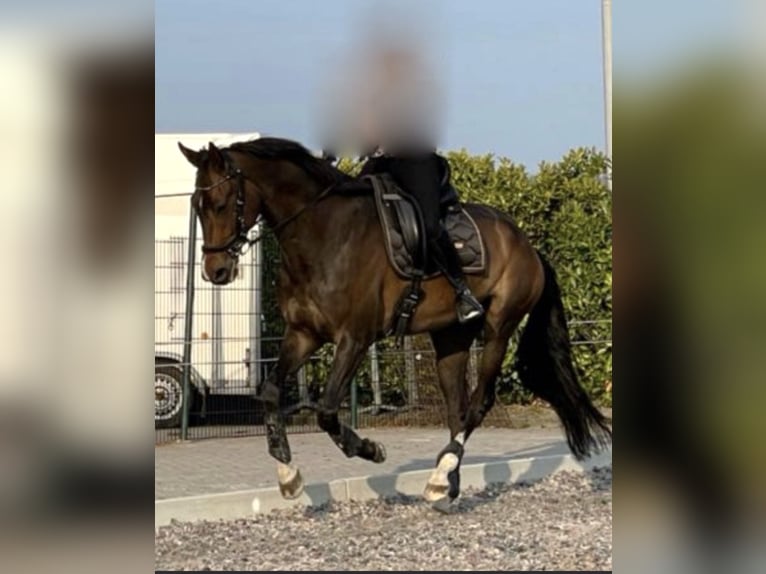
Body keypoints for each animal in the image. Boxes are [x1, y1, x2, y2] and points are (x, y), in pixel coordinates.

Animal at [178, 137, 611, 510]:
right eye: (197, 205)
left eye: (220, 203)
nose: (216, 271)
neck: (322, 235)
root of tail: (527, 244)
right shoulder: (303, 335)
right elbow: (270, 392)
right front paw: (288, 474)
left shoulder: (354, 338)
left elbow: (327, 409)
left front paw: (370, 450)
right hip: (451, 338)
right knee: (456, 409)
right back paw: (445, 482)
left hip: (499, 329)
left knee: (478, 404)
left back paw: (441, 474)